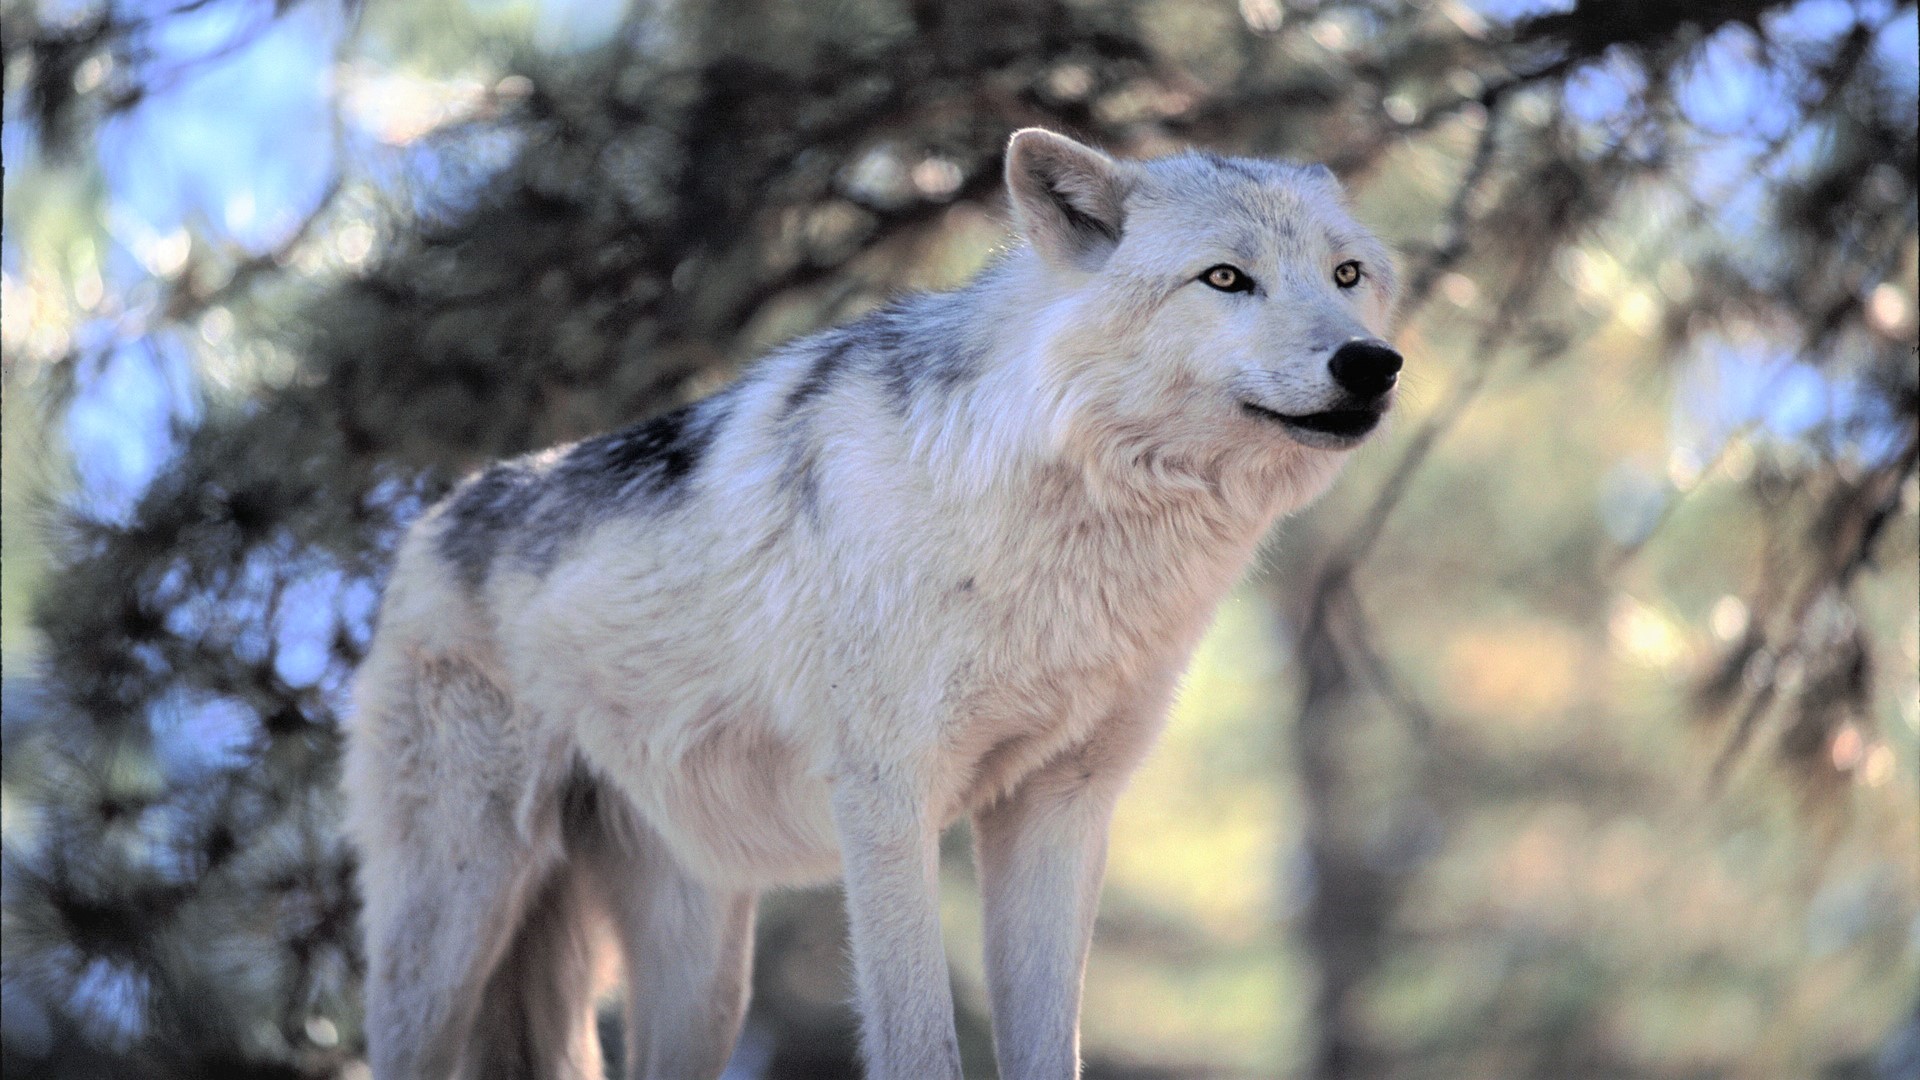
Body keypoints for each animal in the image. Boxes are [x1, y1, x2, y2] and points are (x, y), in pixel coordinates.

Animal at [341, 127, 1397, 1076]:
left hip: (701, 972)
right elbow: (920, 1039)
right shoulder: (887, 800)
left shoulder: (1059, 809)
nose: (1372, 363)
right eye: (1225, 279)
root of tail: (427, 524)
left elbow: (1050, 1046)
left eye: (1346, 275)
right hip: (451, 927)